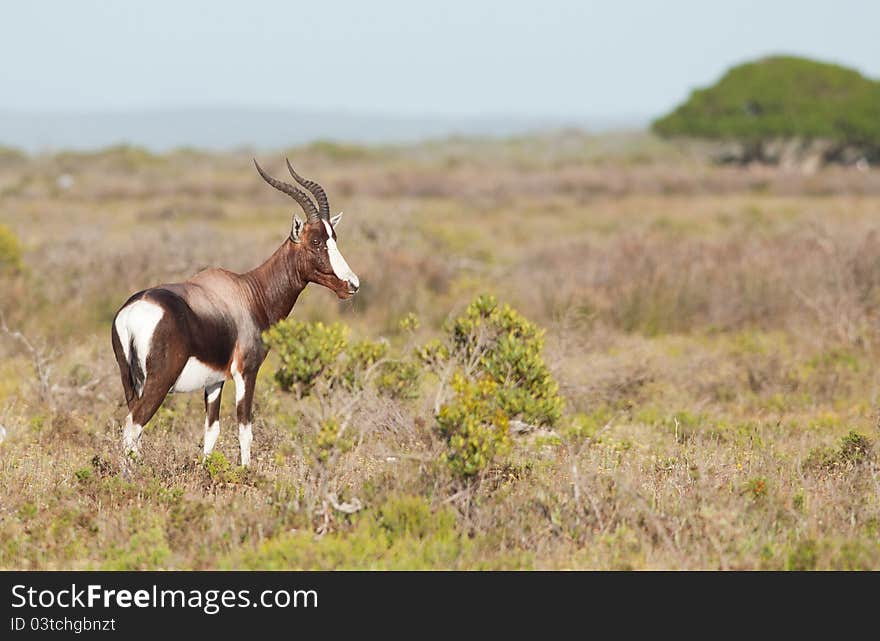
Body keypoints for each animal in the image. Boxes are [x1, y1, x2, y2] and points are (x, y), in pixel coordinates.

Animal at [111, 161, 360, 464]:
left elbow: (212, 431)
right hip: (158, 383)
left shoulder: (215, 381)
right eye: (315, 242)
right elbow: (244, 428)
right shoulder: (246, 371)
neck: (249, 292)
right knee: (133, 426)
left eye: (333, 237)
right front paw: (246, 470)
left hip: (129, 382)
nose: (352, 284)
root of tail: (134, 312)